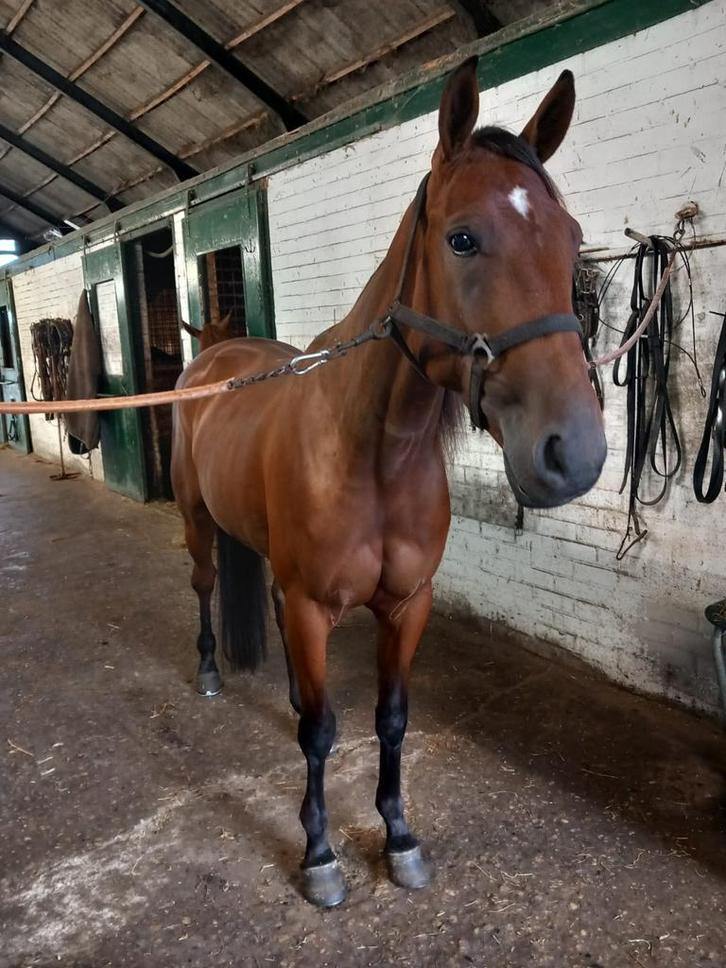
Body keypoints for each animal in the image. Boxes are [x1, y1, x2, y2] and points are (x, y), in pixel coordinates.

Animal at [171, 57, 607, 908]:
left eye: (572, 239)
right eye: (462, 238)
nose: (574, 453)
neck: (370, 453)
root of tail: (213, 358)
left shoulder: (407, 606)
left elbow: (390, 719)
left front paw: (400, 837)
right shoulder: (316, 606)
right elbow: (320, 734)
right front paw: (319, 855)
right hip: (199, 520)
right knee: (205, 586)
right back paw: (208, 669)